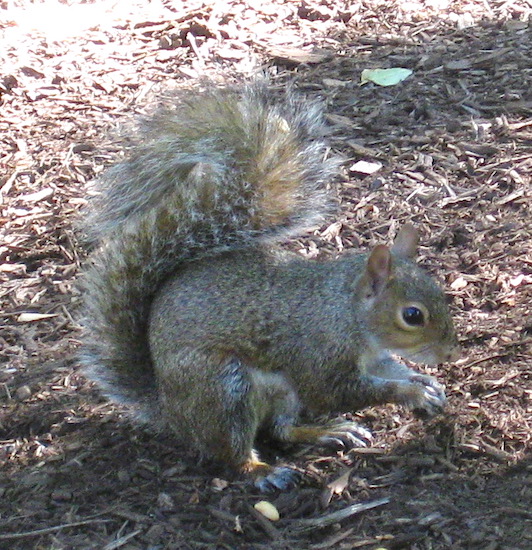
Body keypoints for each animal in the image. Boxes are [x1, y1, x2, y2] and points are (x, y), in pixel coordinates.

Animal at [81, 84, 460, 494]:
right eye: (412, 315)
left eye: (440, 292)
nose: (450, 353)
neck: (345, 311)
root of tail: (169, 407)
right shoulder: (317, 355)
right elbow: (341, 391)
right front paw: (411, 392)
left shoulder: (373, 357)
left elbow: (391, 369)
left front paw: (423, 381)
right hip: (224, 389)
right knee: (231, 449)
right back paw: (262, 471)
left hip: (279, 394)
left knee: (281, 429)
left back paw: (326, 432)